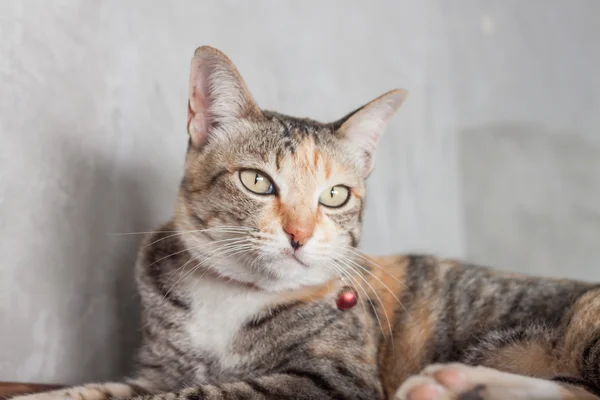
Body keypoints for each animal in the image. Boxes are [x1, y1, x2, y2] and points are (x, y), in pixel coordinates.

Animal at [11, 45, 600, 398]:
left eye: (335, 196)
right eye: (256, 181)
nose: (299, 235)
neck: (232, 297)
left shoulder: (333, 378)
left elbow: (202, 394)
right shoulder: (159, 367)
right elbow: (110, 389)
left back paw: (451, 383)